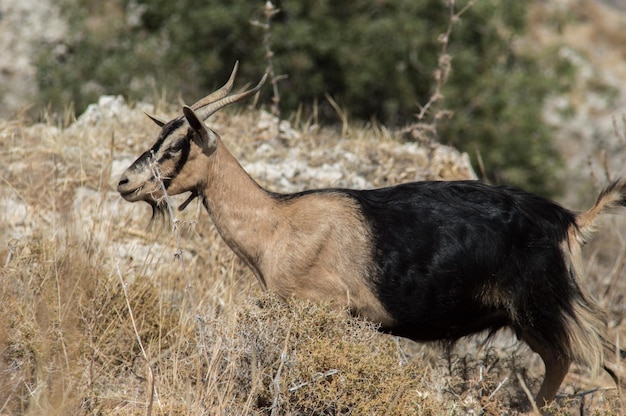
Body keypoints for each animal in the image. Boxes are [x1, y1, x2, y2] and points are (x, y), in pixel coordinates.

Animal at [118, 63, 624, 408]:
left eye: (176, 146)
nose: (125, 183)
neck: (277, 223)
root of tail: (570, 220)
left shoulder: (326, 308)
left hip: (546, 305)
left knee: (592, 358)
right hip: (529, 316)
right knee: (571, 362)